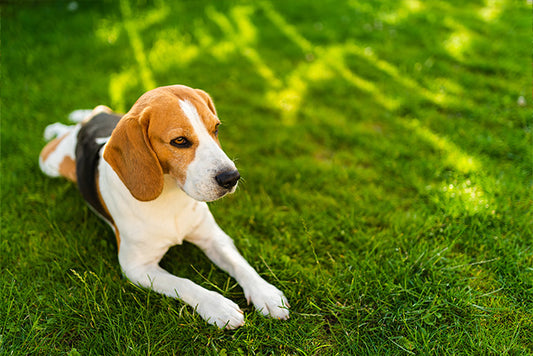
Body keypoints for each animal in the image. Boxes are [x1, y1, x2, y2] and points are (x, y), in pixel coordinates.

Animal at [39, 85, 288, 330]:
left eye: (216, 128)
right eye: (179, 141)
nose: (231, 178)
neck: (170, 197)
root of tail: (89, 122)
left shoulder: (214, 238)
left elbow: (240, 264)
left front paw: (266, 293)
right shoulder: (137, 268)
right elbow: (184, 283)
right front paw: (218, 306)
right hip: (48, 162)